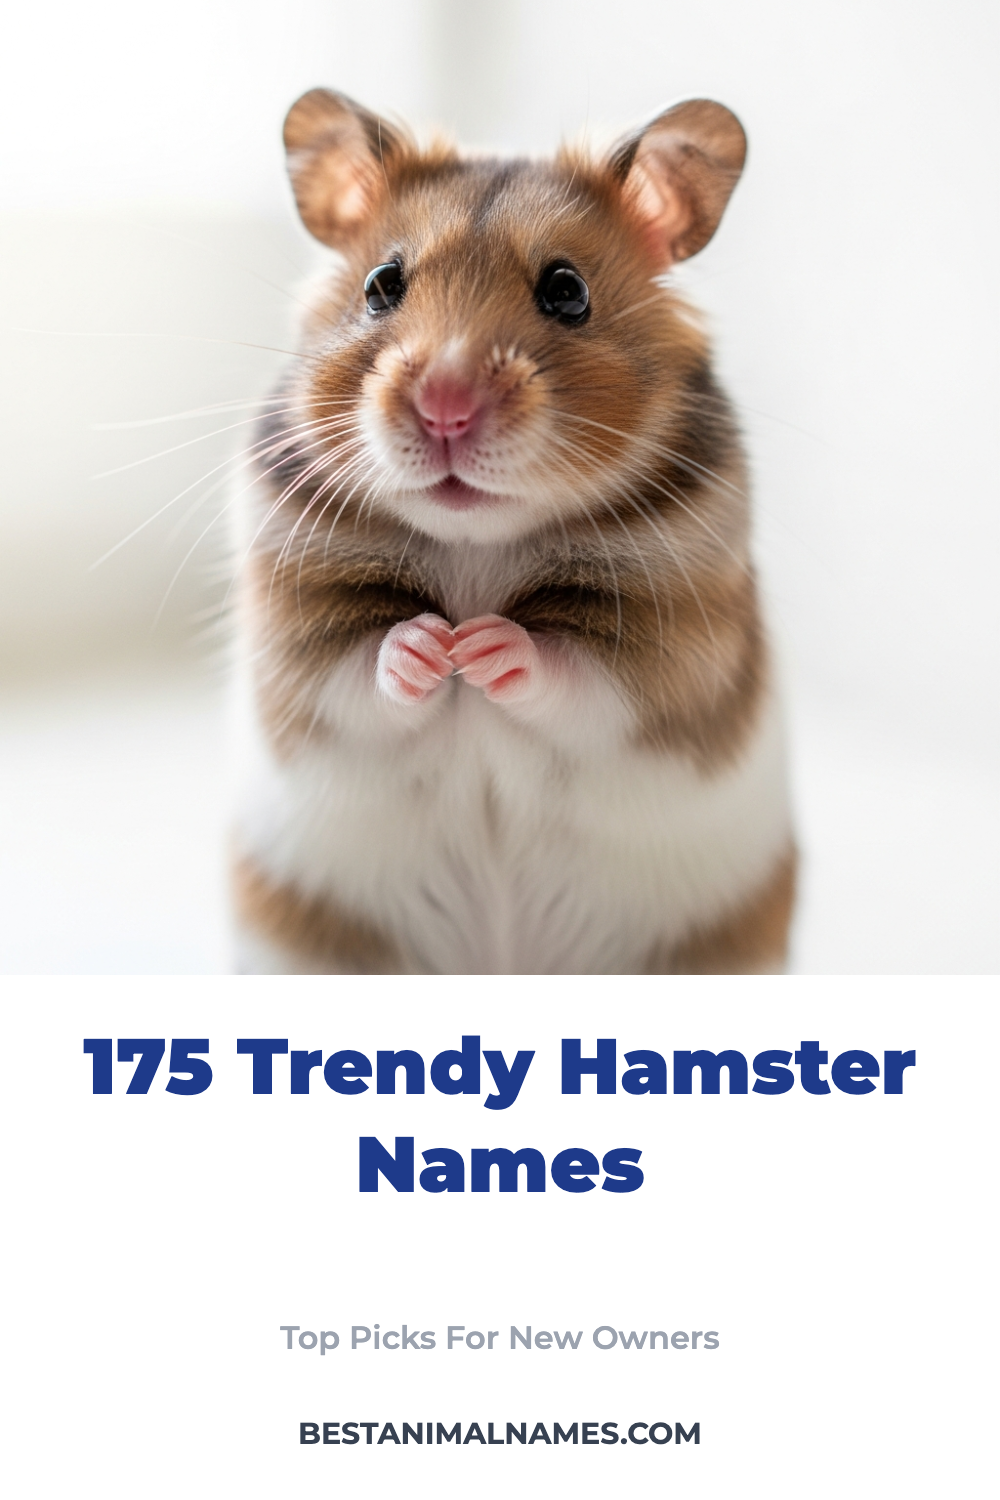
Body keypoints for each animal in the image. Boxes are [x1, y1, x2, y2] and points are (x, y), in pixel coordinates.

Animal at [230, 88, 796, 974]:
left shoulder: (667, 662)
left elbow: (571, 673)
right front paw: (435, 647)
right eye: (382, 285)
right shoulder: (300, 647)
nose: (445, 409)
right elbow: (365, 668)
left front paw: (484, 646)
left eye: (567, 291)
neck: (477, 542)